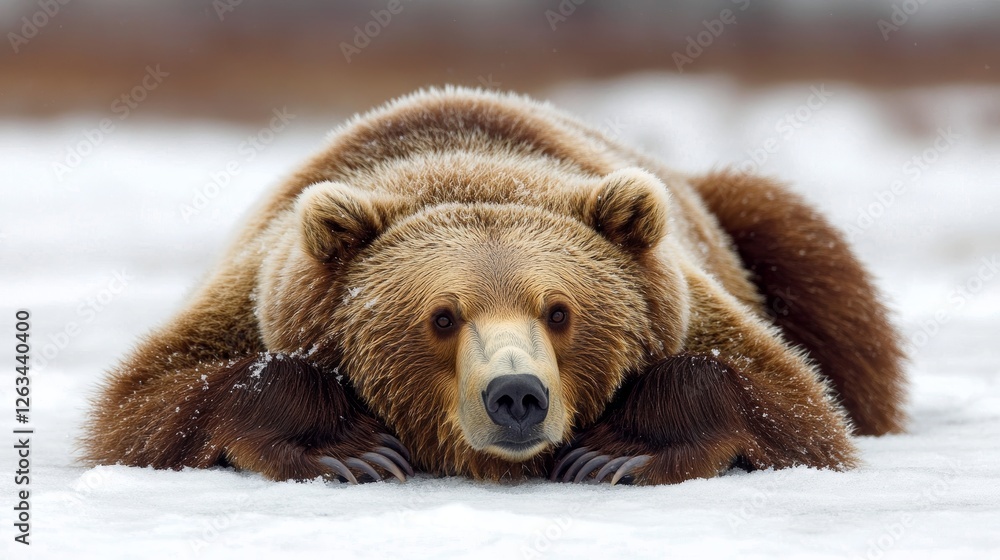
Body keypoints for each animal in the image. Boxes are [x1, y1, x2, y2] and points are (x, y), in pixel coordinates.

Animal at [82, 86, 906, 486]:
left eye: (561, 310)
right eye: (442, 316)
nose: (516, 395)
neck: (468, 166)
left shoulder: (685, 300)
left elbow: (794, 402)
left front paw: (617, 451)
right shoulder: (260, 296)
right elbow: (147, 401)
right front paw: (352, 451)